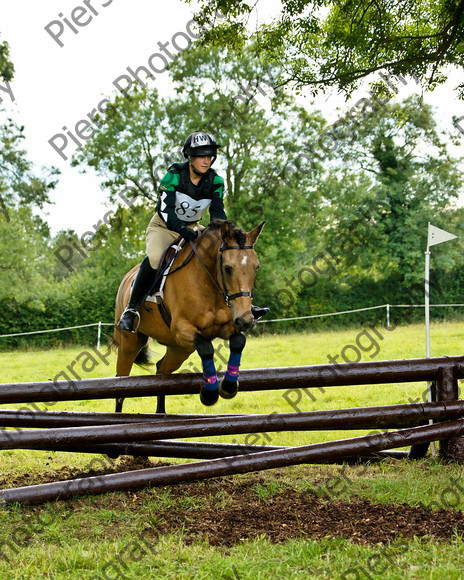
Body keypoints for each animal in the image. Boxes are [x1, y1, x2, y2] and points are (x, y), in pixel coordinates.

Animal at [113, 220, 264, 414]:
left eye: (256, 267)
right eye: (227, 268)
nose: (245, 320)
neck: (208, 281)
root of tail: (126, 279)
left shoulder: (226, 325)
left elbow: (239, 341)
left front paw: (228, 387)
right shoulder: (182, 328)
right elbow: (206, 348)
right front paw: (209, 394)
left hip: (179, 349)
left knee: (161, 370)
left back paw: (161, 415)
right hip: (130, 344)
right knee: (120, 384)